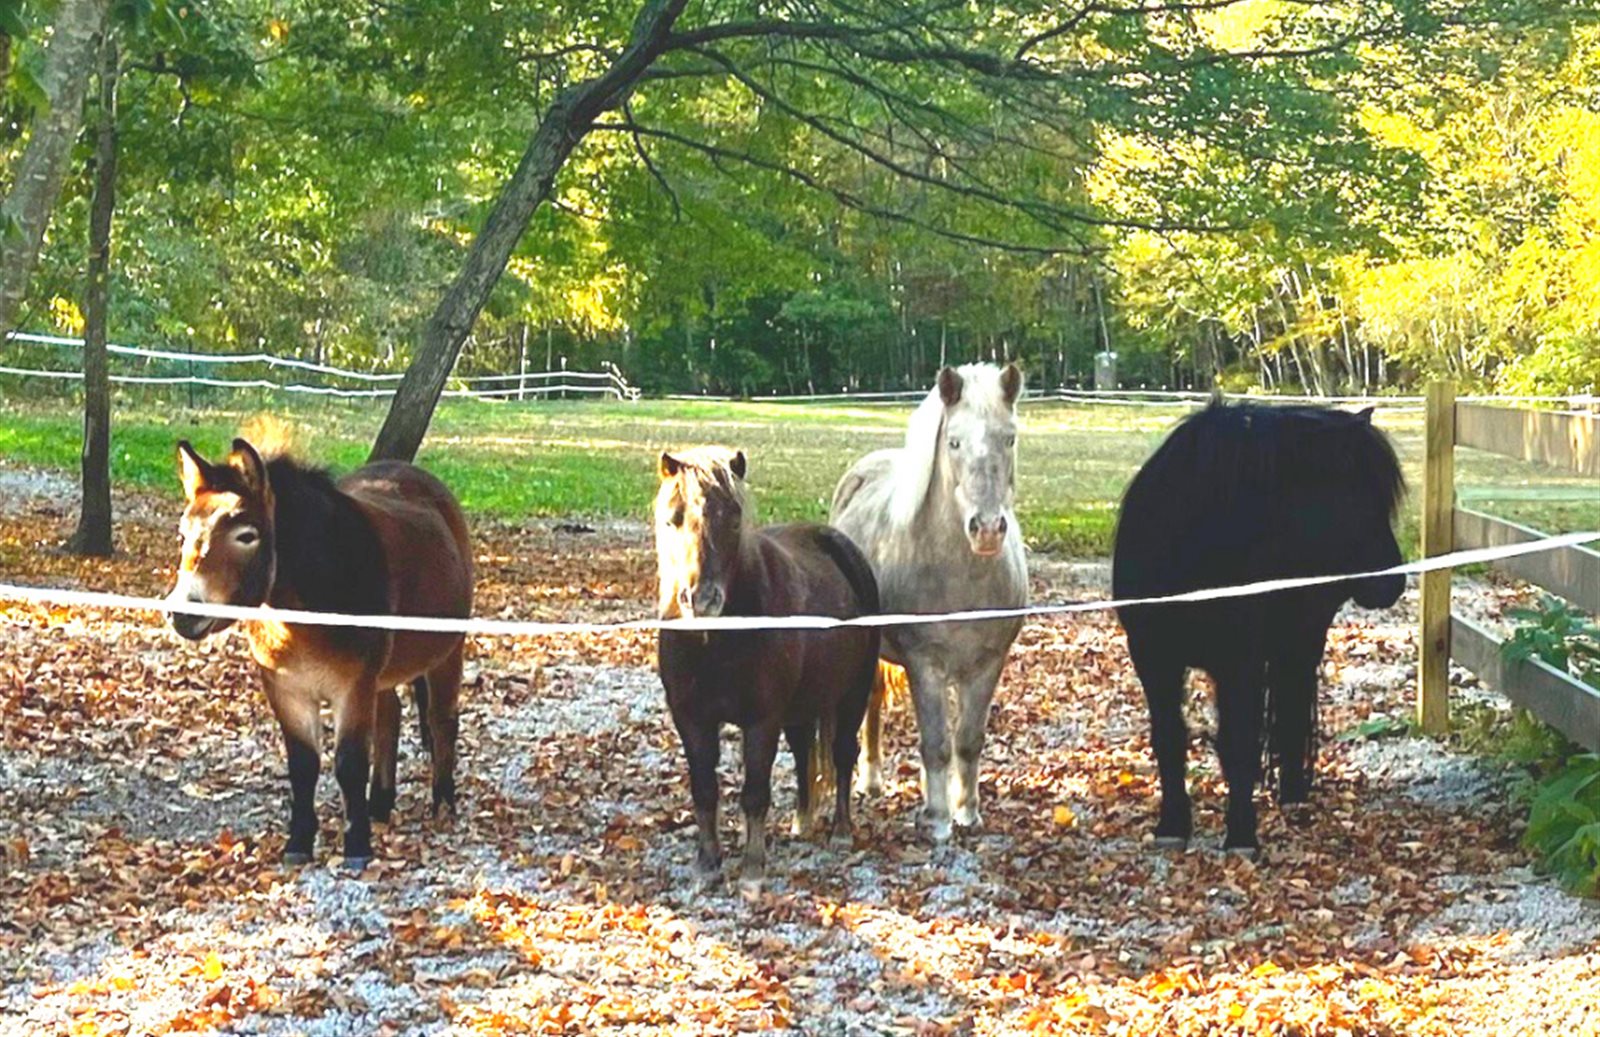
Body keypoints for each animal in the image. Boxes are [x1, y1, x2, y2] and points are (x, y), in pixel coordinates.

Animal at [168, 438, 474, 870]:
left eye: (246, 535)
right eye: (183, 535)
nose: (182, 615)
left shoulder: (353, 687)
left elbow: (348, 763)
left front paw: (357, 847)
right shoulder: (287, 690)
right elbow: (303, 765)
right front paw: (298, 842)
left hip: (447, 652)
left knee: (442, 720)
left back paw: (443, 805)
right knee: (392, 715)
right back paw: (380, 805)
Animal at [654, 446, 879, 891]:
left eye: (733, 517)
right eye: (672, 517)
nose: (701, 599)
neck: (716, 641)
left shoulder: (761, 720)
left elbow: (755, 792)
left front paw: (752, 870)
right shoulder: (692, 719)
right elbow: (704, 790)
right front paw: (707, 864)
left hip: (853, 694)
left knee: (843, 754)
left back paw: (841, 831)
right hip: (801, 708)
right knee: (804, 753)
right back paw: (801, 823)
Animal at [830, 363, 1028, 842]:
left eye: (1009, 438)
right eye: (953, 442)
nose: (988, 529)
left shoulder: (988, 664)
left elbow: (967, 740)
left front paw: (967, 812)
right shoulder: (925, 664)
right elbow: (936, 742)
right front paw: (938, 820)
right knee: (873, 703)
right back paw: (872, 781)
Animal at [1113, 402, 1405, 853]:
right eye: (1359, 497)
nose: (1395, 582)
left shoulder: (1240, 664)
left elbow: (1238, 743)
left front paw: (1241, 833)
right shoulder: (1153, 657)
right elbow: (1169, 737)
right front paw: (1172, 824)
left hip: (1301, 642)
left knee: (1292, 705)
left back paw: (1292, 792)